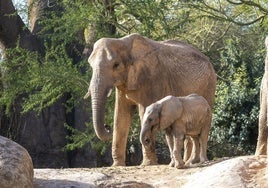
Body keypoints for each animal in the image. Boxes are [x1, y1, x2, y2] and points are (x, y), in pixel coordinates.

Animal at [85, 33, 217, 166]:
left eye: (116, 65)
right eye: (90, 65)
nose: (107, 127)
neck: (123, 42)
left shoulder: (152, 78)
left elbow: (143, 110)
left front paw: (148, 164)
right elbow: (120, 115)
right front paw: (117, 165)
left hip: (209, 86)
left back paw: (189, 162)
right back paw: (188, 161)